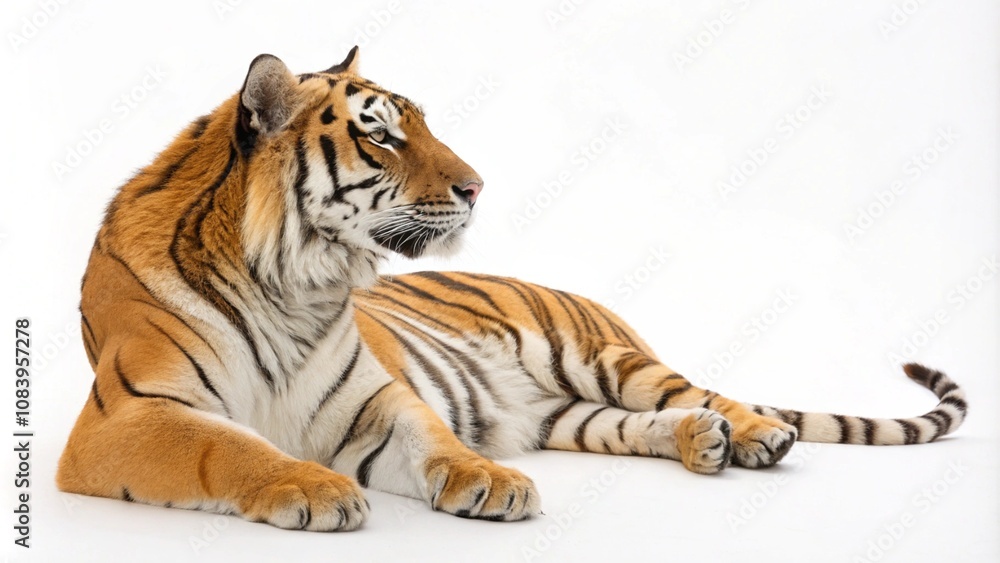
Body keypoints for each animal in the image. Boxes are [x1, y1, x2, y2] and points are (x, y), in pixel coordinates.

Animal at [57, 47, 968, 530]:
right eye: (382, 136)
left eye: (421, 122)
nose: (477, 186)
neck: (297, 282)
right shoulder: (129, 416)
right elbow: (230, 444)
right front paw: (314, 486)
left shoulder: (373, 400)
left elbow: (433, 436)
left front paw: (488, 480)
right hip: (569, 412)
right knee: (642, 421)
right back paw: (702, 442)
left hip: (600, 356)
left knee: (707, 391)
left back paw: (751, 433)